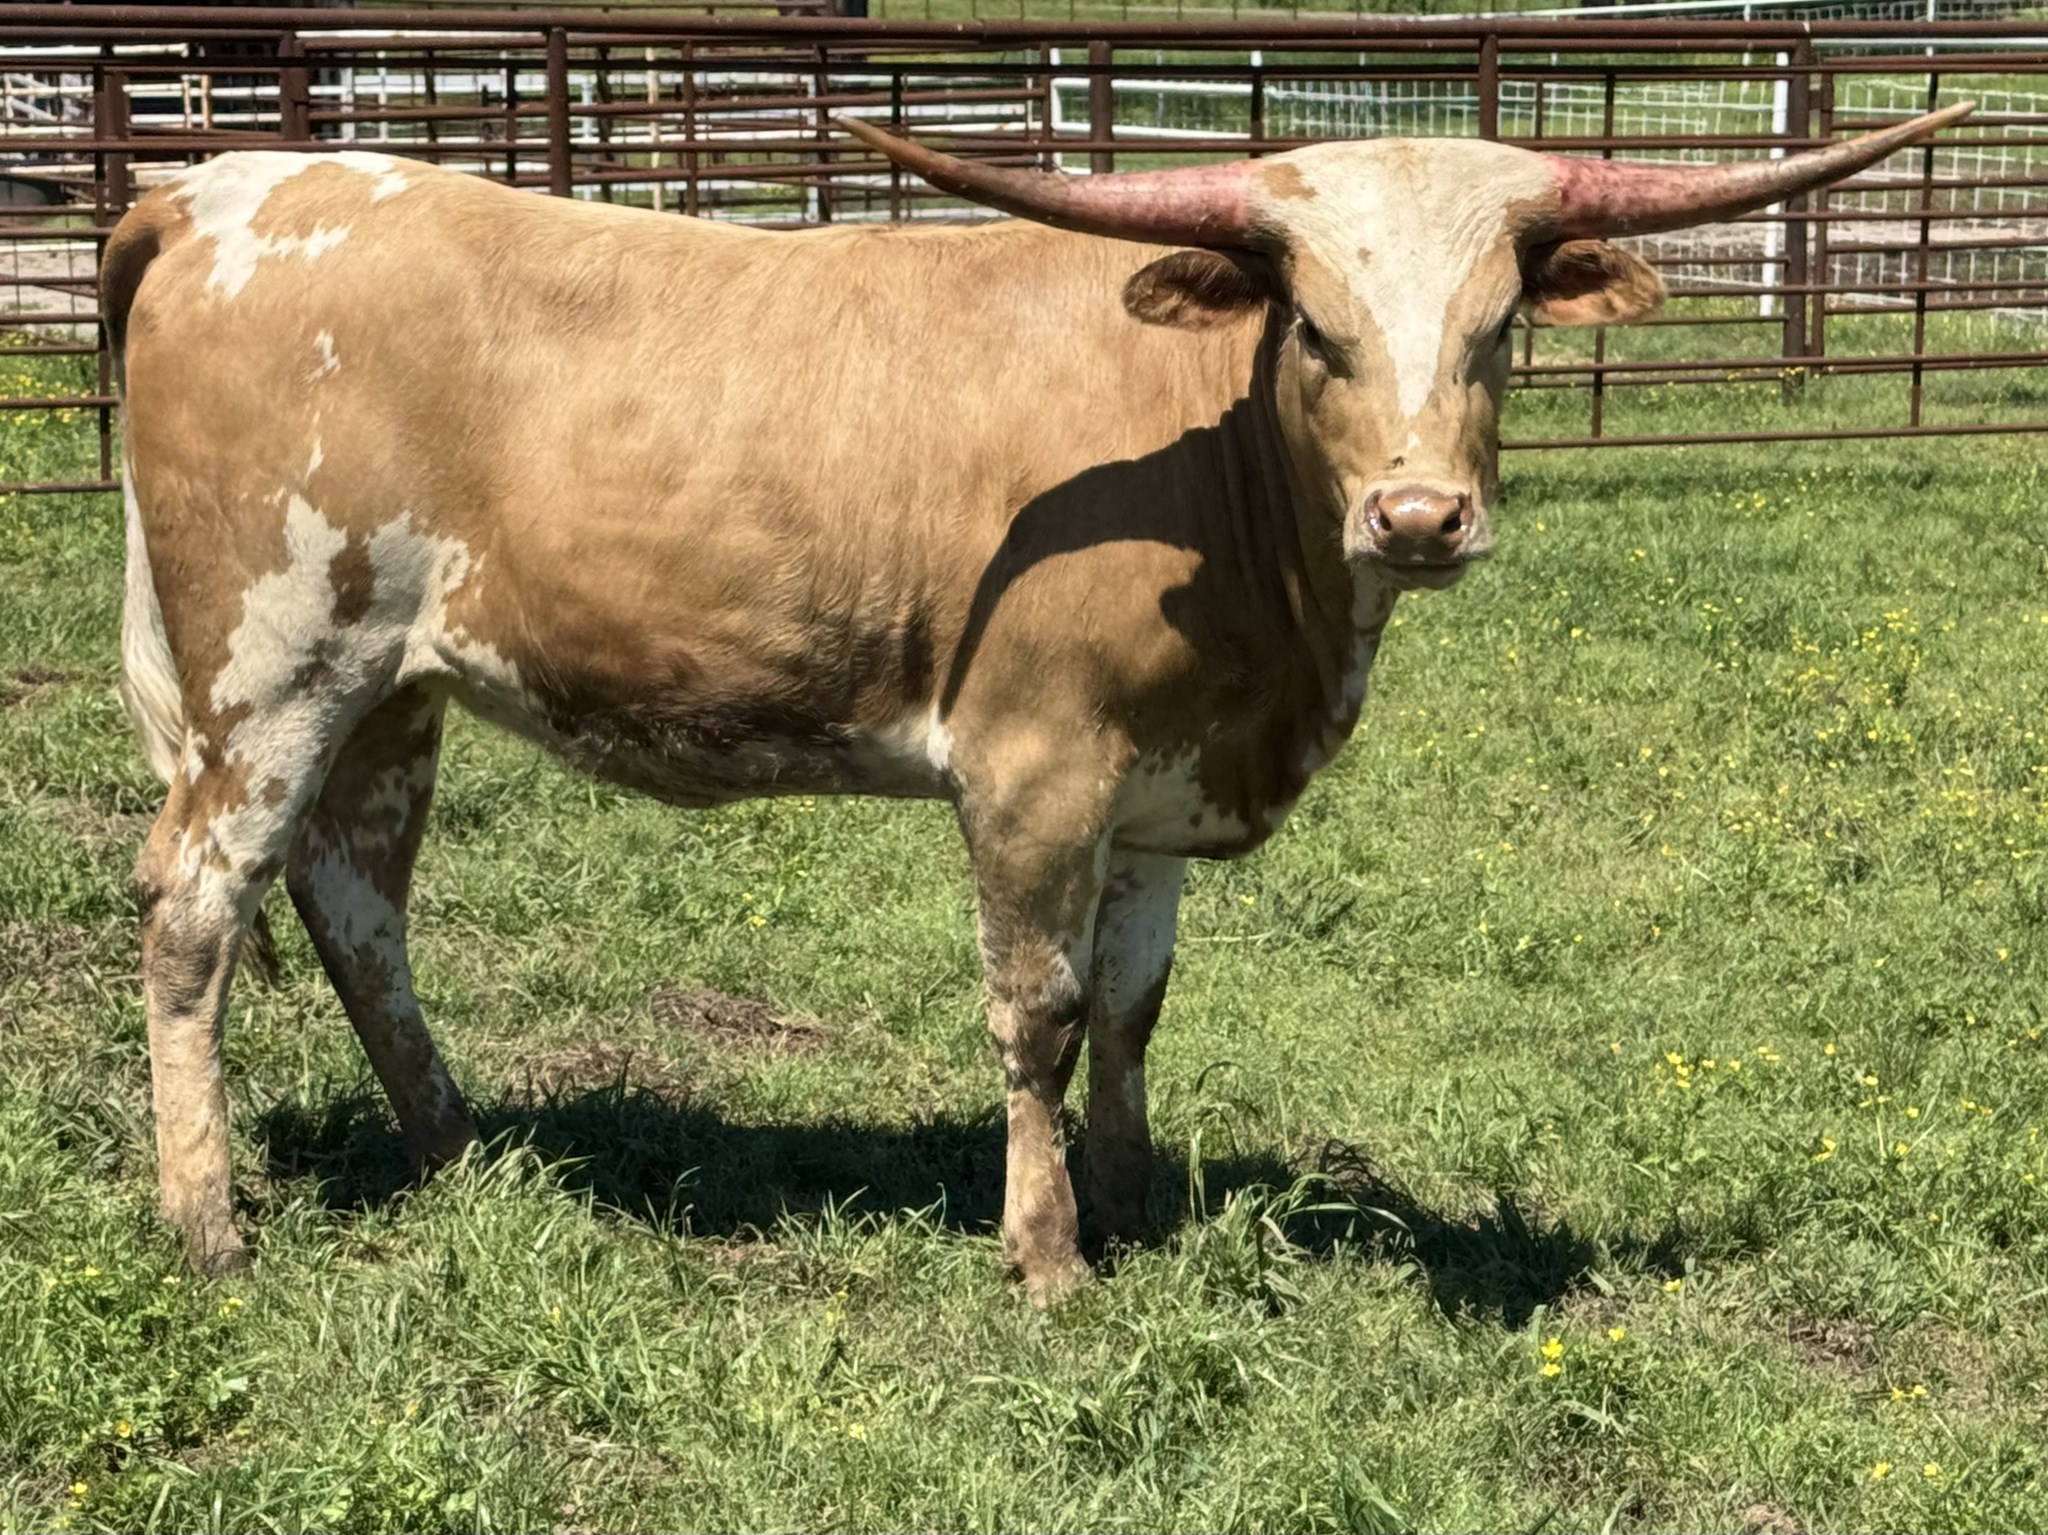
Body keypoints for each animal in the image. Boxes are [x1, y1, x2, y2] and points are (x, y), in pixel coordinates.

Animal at [103, 105, 1965, 1299]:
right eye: (1314, 328)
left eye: (1499, 327)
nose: (1420, 516)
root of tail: (223, 189)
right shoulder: (1031, 771)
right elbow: (1041, 1012)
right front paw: (1049, 1252)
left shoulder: (1147, 794)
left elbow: (1135, 1006)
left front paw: (1134, 1207)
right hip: (269, 672)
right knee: (195, 912)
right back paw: (210, 1229)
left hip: (388, 691)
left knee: (355, 906)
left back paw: (458, 1150)